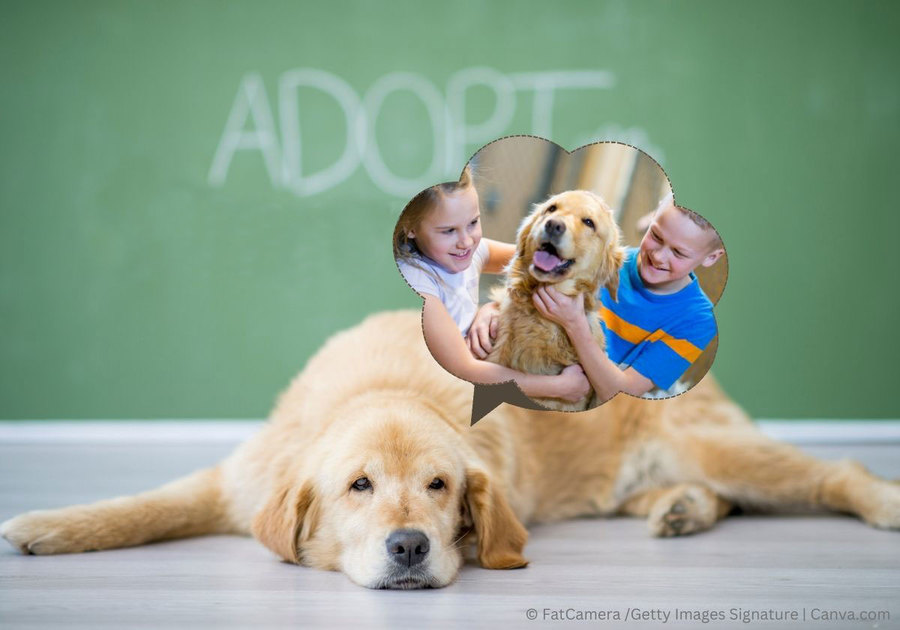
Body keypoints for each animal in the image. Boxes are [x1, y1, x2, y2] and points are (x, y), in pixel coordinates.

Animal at [1, 314, 900, 592]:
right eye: (359, 486)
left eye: (438, 486)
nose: (408, 548)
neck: (379, 389)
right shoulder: (237, 478)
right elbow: (143, 507)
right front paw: (48, 525)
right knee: (709, 496)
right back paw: (680, 510)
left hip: (723, 448)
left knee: (838, 473)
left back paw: (884, 499)